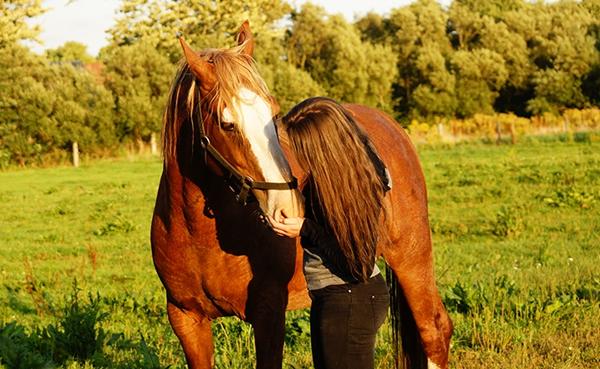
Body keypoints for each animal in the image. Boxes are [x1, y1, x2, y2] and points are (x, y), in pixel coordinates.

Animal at [150, 21, 450, 368]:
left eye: (273, 113)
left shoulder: (268, 313)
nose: (288, 208)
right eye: (227, 124)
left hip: (412, 258)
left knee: (434, 330)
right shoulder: (186, 318)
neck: (198, 234)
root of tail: (391, 126)